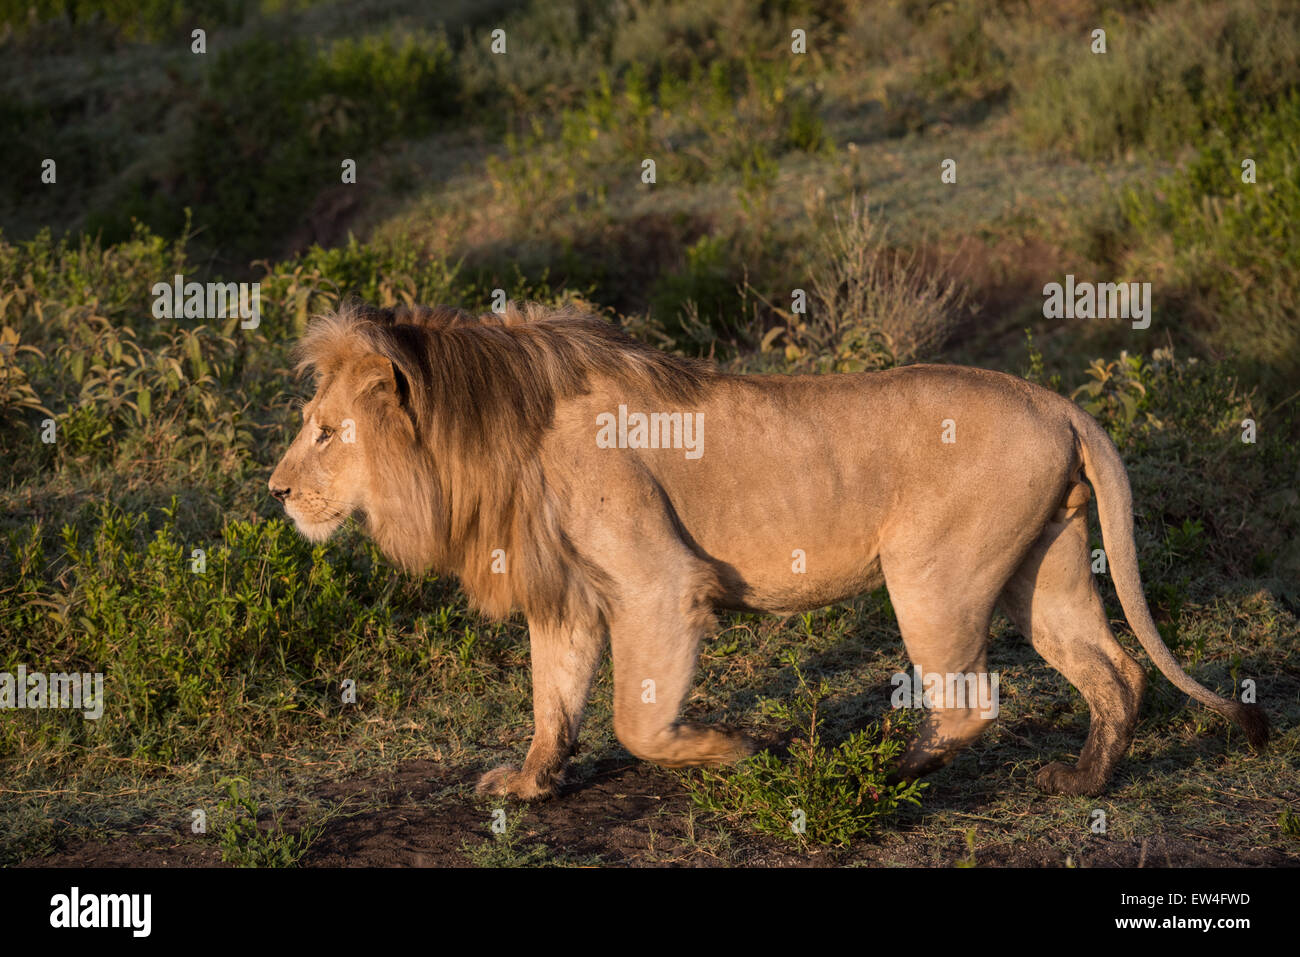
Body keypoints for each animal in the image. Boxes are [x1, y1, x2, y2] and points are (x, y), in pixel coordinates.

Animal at [268, 301, 1268, 800]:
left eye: (324, 431)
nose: (275, 492)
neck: (491, 429)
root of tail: (1057, 400)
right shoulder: (572, 591)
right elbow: (554, 700)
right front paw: (527, 784)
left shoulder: (659, 582)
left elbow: (636, 722)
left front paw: (740, 748)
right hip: (1045, 568)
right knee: (1115, 672)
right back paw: (1083, 782)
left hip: (929, 573)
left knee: (970, 705)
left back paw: (877, 775)